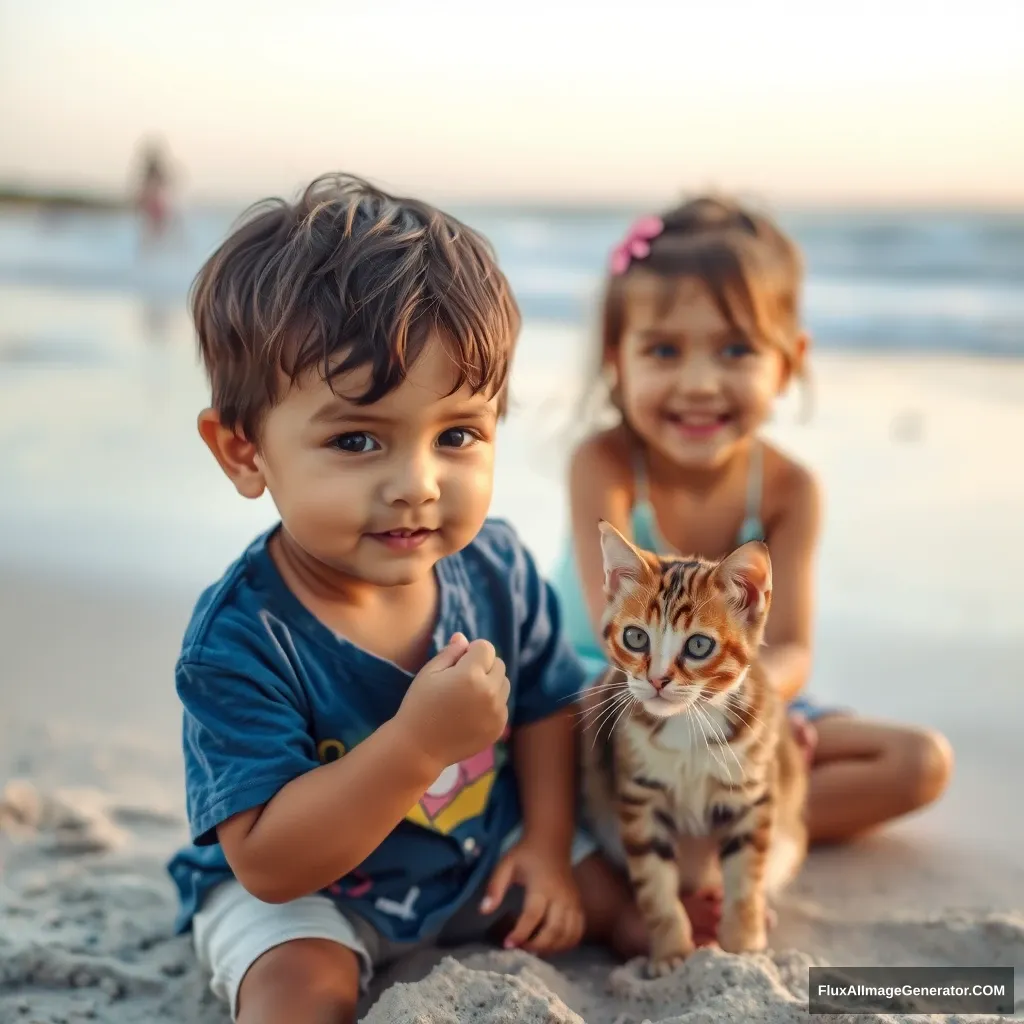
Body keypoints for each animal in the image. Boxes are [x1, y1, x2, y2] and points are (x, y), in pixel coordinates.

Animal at [585, 524, 806, 970]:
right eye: (635, 637)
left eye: (699, 646)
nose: (657, 680)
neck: (687, 722)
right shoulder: (640, 800)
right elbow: (655, 885)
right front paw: (671, 953)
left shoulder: (751, 796)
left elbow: (745, 877)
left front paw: (743, 947)